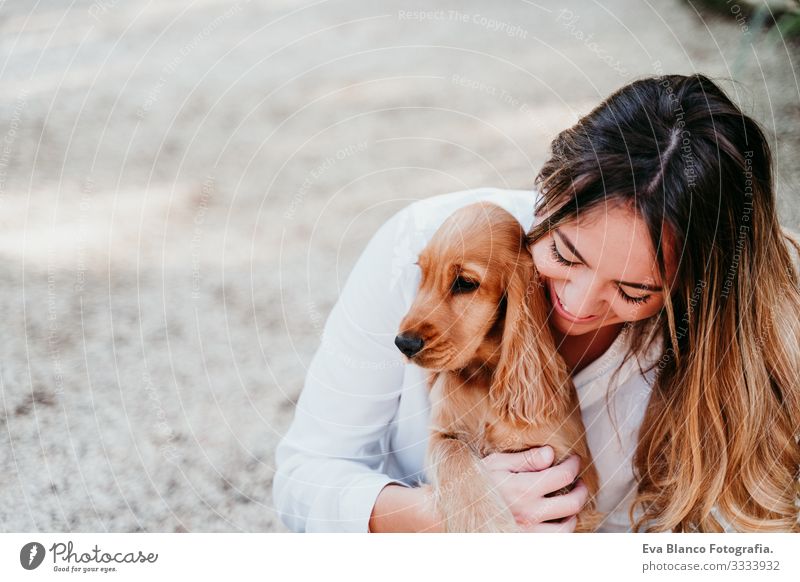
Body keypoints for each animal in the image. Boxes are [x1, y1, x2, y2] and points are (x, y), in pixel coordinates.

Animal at [394, 201, 600, 532]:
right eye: (423, 274)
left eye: (465, 283)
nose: (403, 343)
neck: (484, 373)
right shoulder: (443, 433)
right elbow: (454, 457)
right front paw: (488, 524)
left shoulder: (573, 472)